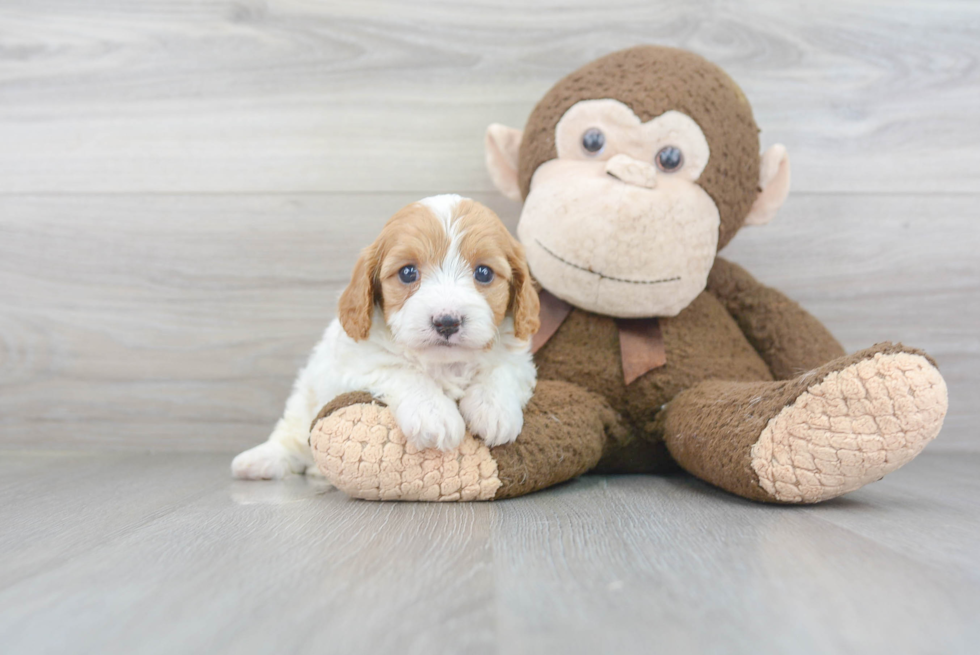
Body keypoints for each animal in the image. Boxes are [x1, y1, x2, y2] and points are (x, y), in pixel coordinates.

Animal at [233, 195, 540, 482]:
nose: (447, 322)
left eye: (484, 273)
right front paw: (434, 414)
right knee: (291, 435)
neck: (443, 363)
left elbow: (501, 369)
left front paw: (494, 409)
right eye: (408, 272)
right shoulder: (355, 364)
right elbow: (402, 370)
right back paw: (259, 461)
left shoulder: (519, 359)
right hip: (305, 396)